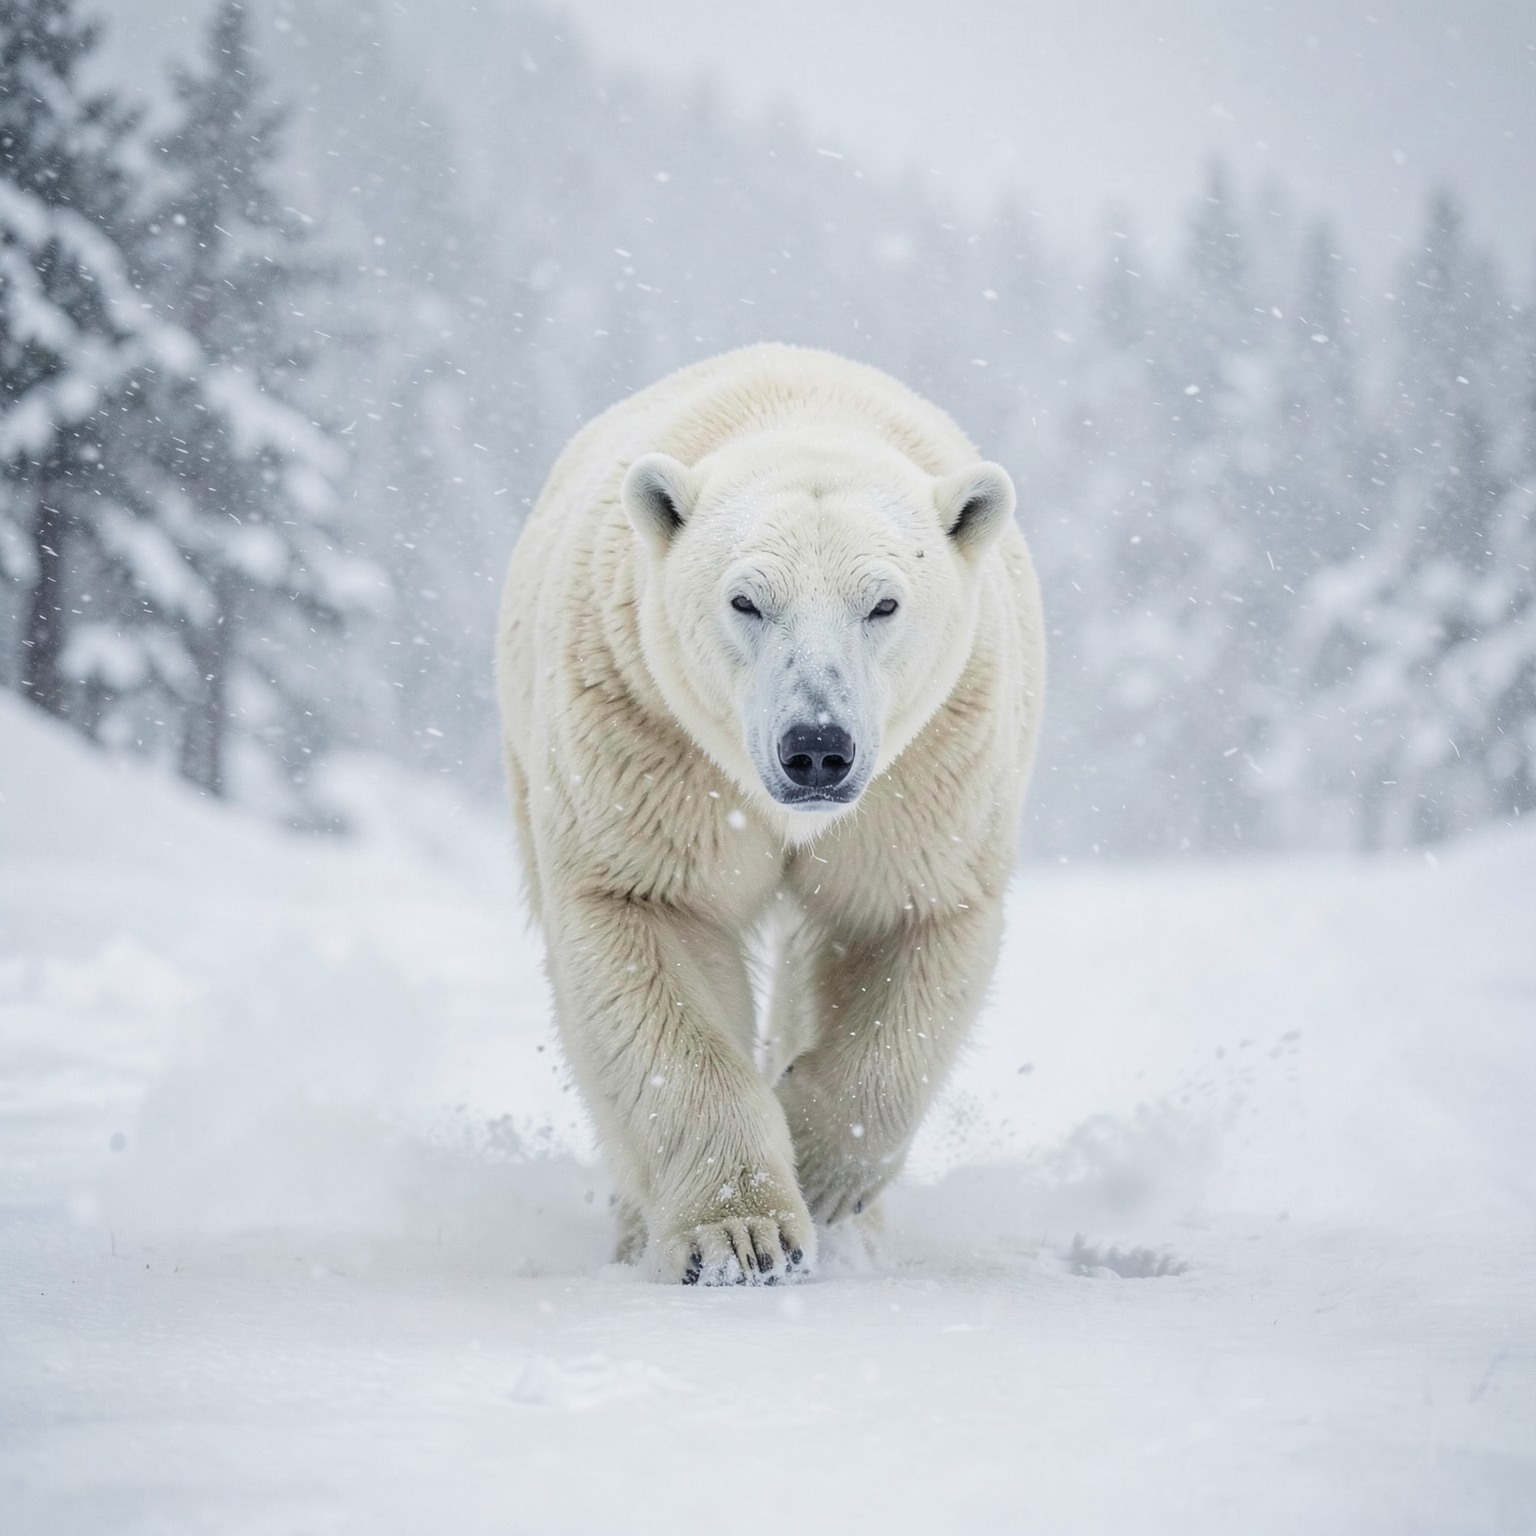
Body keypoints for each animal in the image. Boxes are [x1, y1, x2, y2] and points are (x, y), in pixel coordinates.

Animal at [496, 343, 1044, 1284]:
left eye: (883, 603)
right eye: (746, 600)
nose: (816, 748)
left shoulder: (923, 772)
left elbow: (903, 924)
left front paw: (819, 1169)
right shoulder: (651, 738)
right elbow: (654, 924)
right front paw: (740, 1238)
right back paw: (637, 1227)